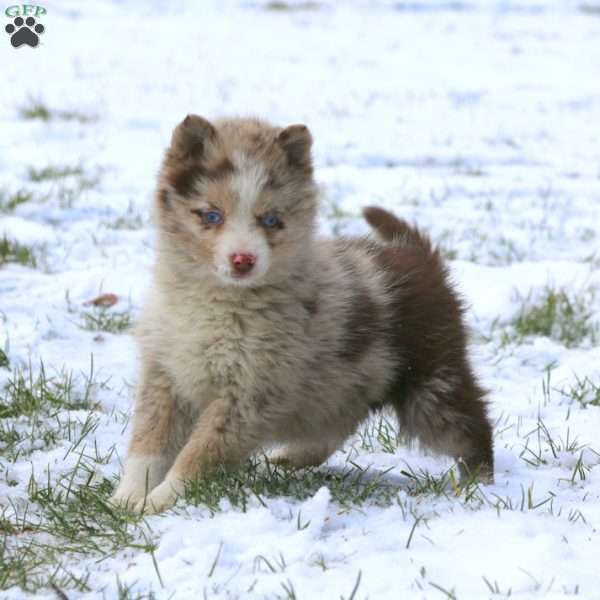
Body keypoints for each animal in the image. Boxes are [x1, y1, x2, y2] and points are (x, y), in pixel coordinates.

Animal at [109, 117, 492, 516]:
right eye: (212, 215)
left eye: (271, 220)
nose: (243, 260)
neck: (218, 301)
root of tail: (421, 258)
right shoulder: (163, 375)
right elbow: (148, 443)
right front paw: (127, 497)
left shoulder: (248, 395)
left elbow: (198, 455)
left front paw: (160, 500)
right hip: (344, 388)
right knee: (336, 426)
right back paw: (289, 457)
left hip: (432, 383)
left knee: (470, 426)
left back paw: (479, 483)